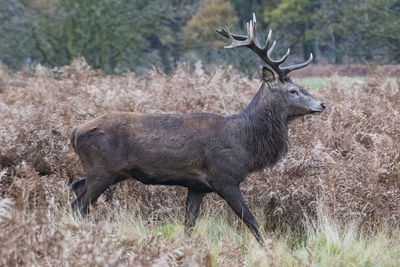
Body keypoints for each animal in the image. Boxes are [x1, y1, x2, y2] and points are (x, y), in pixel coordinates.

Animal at [69, 13, 324, 246]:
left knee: (76, 187)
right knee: (80, 204)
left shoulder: (197, 186)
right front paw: (267, 250)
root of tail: (75, 132)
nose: (322, 104)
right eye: (293, 90)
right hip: (101, 169)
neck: (244, 143)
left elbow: (189, 224)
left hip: (112, 172)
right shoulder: (225, 178)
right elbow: (251, 220)